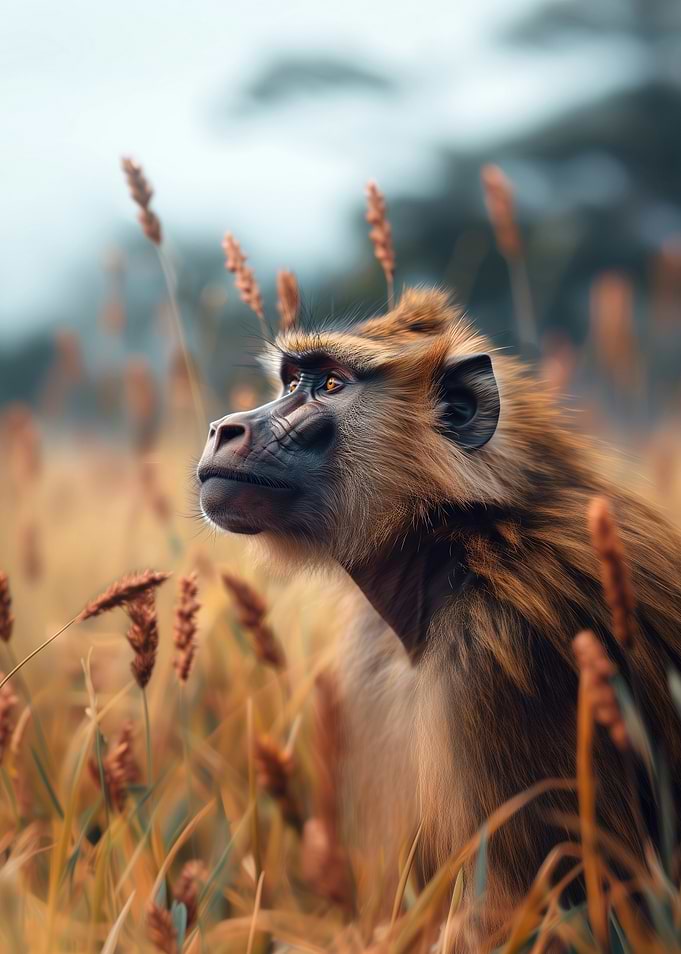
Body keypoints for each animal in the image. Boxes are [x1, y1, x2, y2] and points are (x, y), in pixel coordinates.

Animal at [197, 287, 681, 947]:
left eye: (330, 385)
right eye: (293, 379)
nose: (224, 428)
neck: (457, 545)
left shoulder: (505, 653)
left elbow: (545, 912)